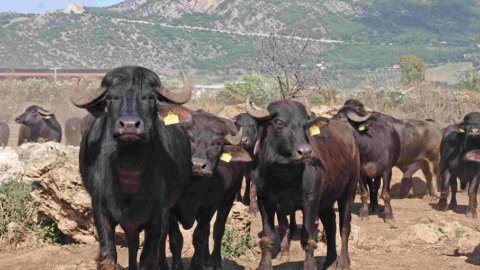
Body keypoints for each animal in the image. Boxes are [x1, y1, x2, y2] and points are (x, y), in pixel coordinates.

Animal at [71, 66, 193, 270]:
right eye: (110, 98)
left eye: (150, 97)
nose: (129, 126)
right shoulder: (100, 210)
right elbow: (109, 255)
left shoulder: (158, 213)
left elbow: (148, 256)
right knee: (134, 242)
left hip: (172, 207)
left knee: (170, 239)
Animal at [167, 110, 251, 270]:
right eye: (189, 138)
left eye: (217, 143)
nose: (198, 165)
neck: (191, 187)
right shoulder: (169, 208)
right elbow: (176, 239)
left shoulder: (209, 206)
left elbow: (198, 236)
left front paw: (195, 265)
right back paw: (205, 258)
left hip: (229, 198)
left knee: (217, 229)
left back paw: (215, 261)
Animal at [246, 99, 358, 270]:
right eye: (279, 122)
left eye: (305, 124)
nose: (305, 151)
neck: (283, 177)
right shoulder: (264, 200)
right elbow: (269, 235)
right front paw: (264, 265)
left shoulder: (311, 201)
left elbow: (307, 237)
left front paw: (310, 265)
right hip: (325, 201)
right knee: (330, 225)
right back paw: (330, 261)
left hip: (349, 191)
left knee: (344, 226)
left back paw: (344, 262)